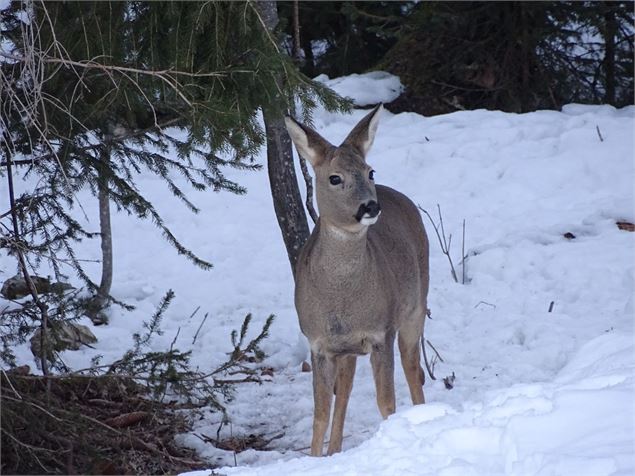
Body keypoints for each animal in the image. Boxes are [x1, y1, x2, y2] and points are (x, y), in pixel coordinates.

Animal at [286, 105, 432, 458]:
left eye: (370, 172)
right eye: (334, 177)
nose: (370, 206)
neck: (342, 298)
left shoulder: (382, 332)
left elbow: (387, 402)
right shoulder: (318, 343)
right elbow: (321, 412)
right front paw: (315, 457)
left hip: (416, 306)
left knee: (413, 370)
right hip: (348, 349)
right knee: (347, 389)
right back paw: (335, 450)